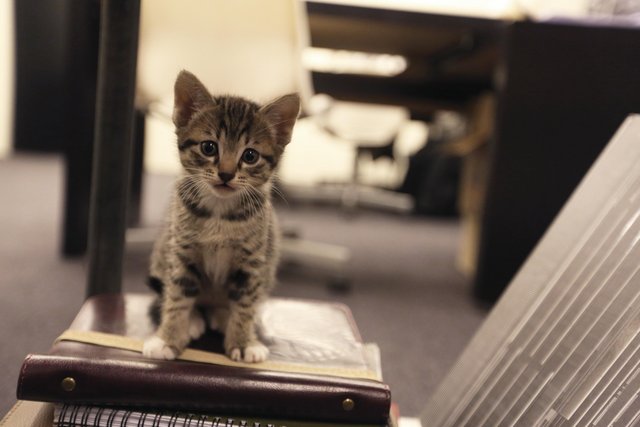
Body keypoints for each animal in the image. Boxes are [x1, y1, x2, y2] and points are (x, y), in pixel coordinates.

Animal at [144, 71, 298, 364]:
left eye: (250, 155)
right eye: (208, 147)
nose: (226, 174)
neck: (219, 212)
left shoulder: (252, 262)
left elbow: (245, 305)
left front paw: (243, 342)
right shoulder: (181, 251)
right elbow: (177, 297)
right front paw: (168, 338)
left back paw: (223, 316)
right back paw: (195, 319)